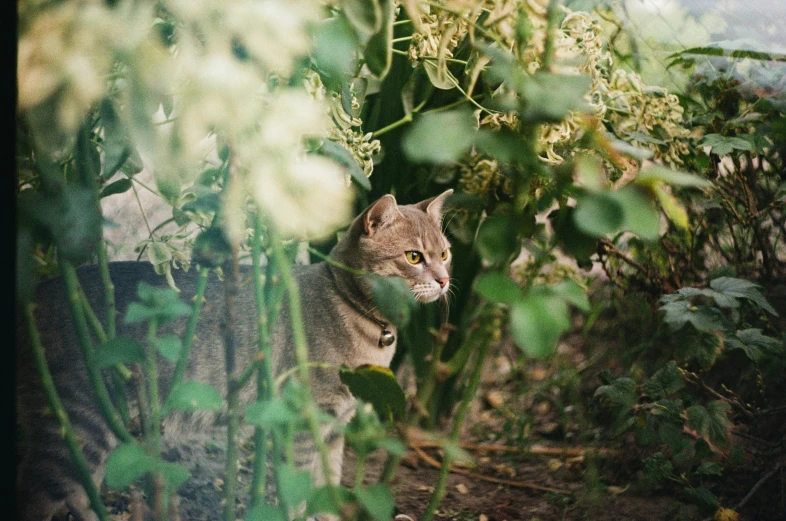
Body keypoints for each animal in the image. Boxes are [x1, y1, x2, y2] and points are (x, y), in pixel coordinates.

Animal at [13, 190, 454, 520]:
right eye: (414, 257)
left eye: (446, 253)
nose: (446, 279)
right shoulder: (303, 423)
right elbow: (298, 493)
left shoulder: (334, 429)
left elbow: (326, 491)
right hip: (76, 425)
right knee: (39, 497)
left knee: (79, 495)